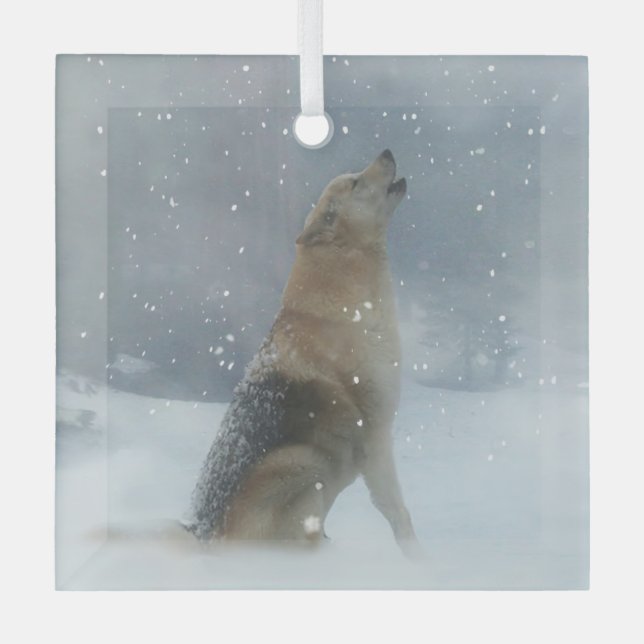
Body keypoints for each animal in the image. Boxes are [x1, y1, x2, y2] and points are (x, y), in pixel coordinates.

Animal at [186, 149, 420, 558]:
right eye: (355, 182)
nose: (387, 152)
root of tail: (205, 539)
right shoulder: (376, 437)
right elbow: (397, 512)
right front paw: (418, 559)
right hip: (303, 466)